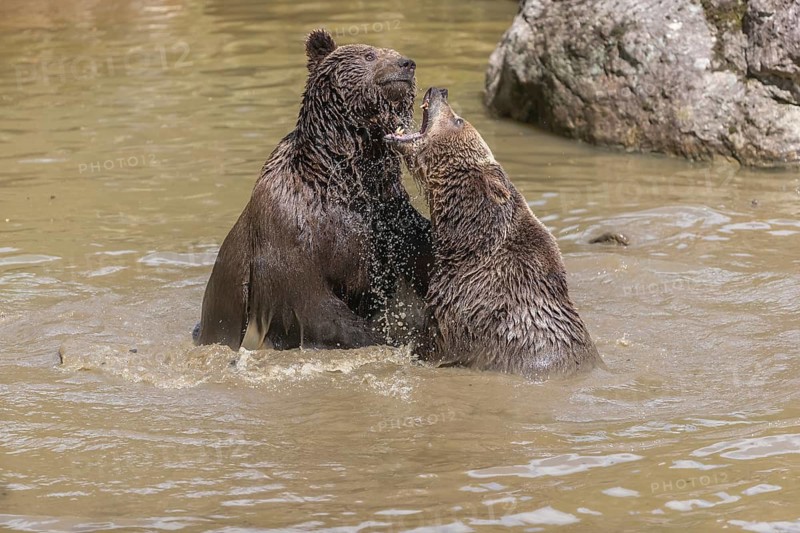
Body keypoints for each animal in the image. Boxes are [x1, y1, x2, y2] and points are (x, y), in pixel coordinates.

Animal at [194, 29, 432, 351]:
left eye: (393, 52)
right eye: (369, 55)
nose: (407, 64)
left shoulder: (388, 215)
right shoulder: (289, 231)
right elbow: (311, 303)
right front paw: (381, 338)